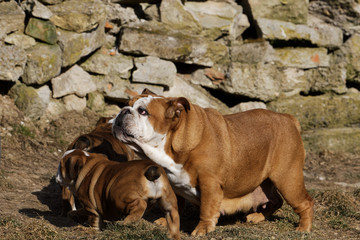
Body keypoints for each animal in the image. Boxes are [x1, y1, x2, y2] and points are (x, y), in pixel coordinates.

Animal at [112, 89, 312, 235]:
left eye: (143, 111)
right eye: (126, 105)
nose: (122, 111)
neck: (171, 145)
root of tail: (288, 119)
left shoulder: (209, 182)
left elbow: (207, 208)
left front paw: (202, 229)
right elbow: (175, 202)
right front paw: (166, 220)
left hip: (287, 179)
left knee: (305, 202)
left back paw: (303, 228)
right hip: (267, 181)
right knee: (276, 200)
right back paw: (257, 216)